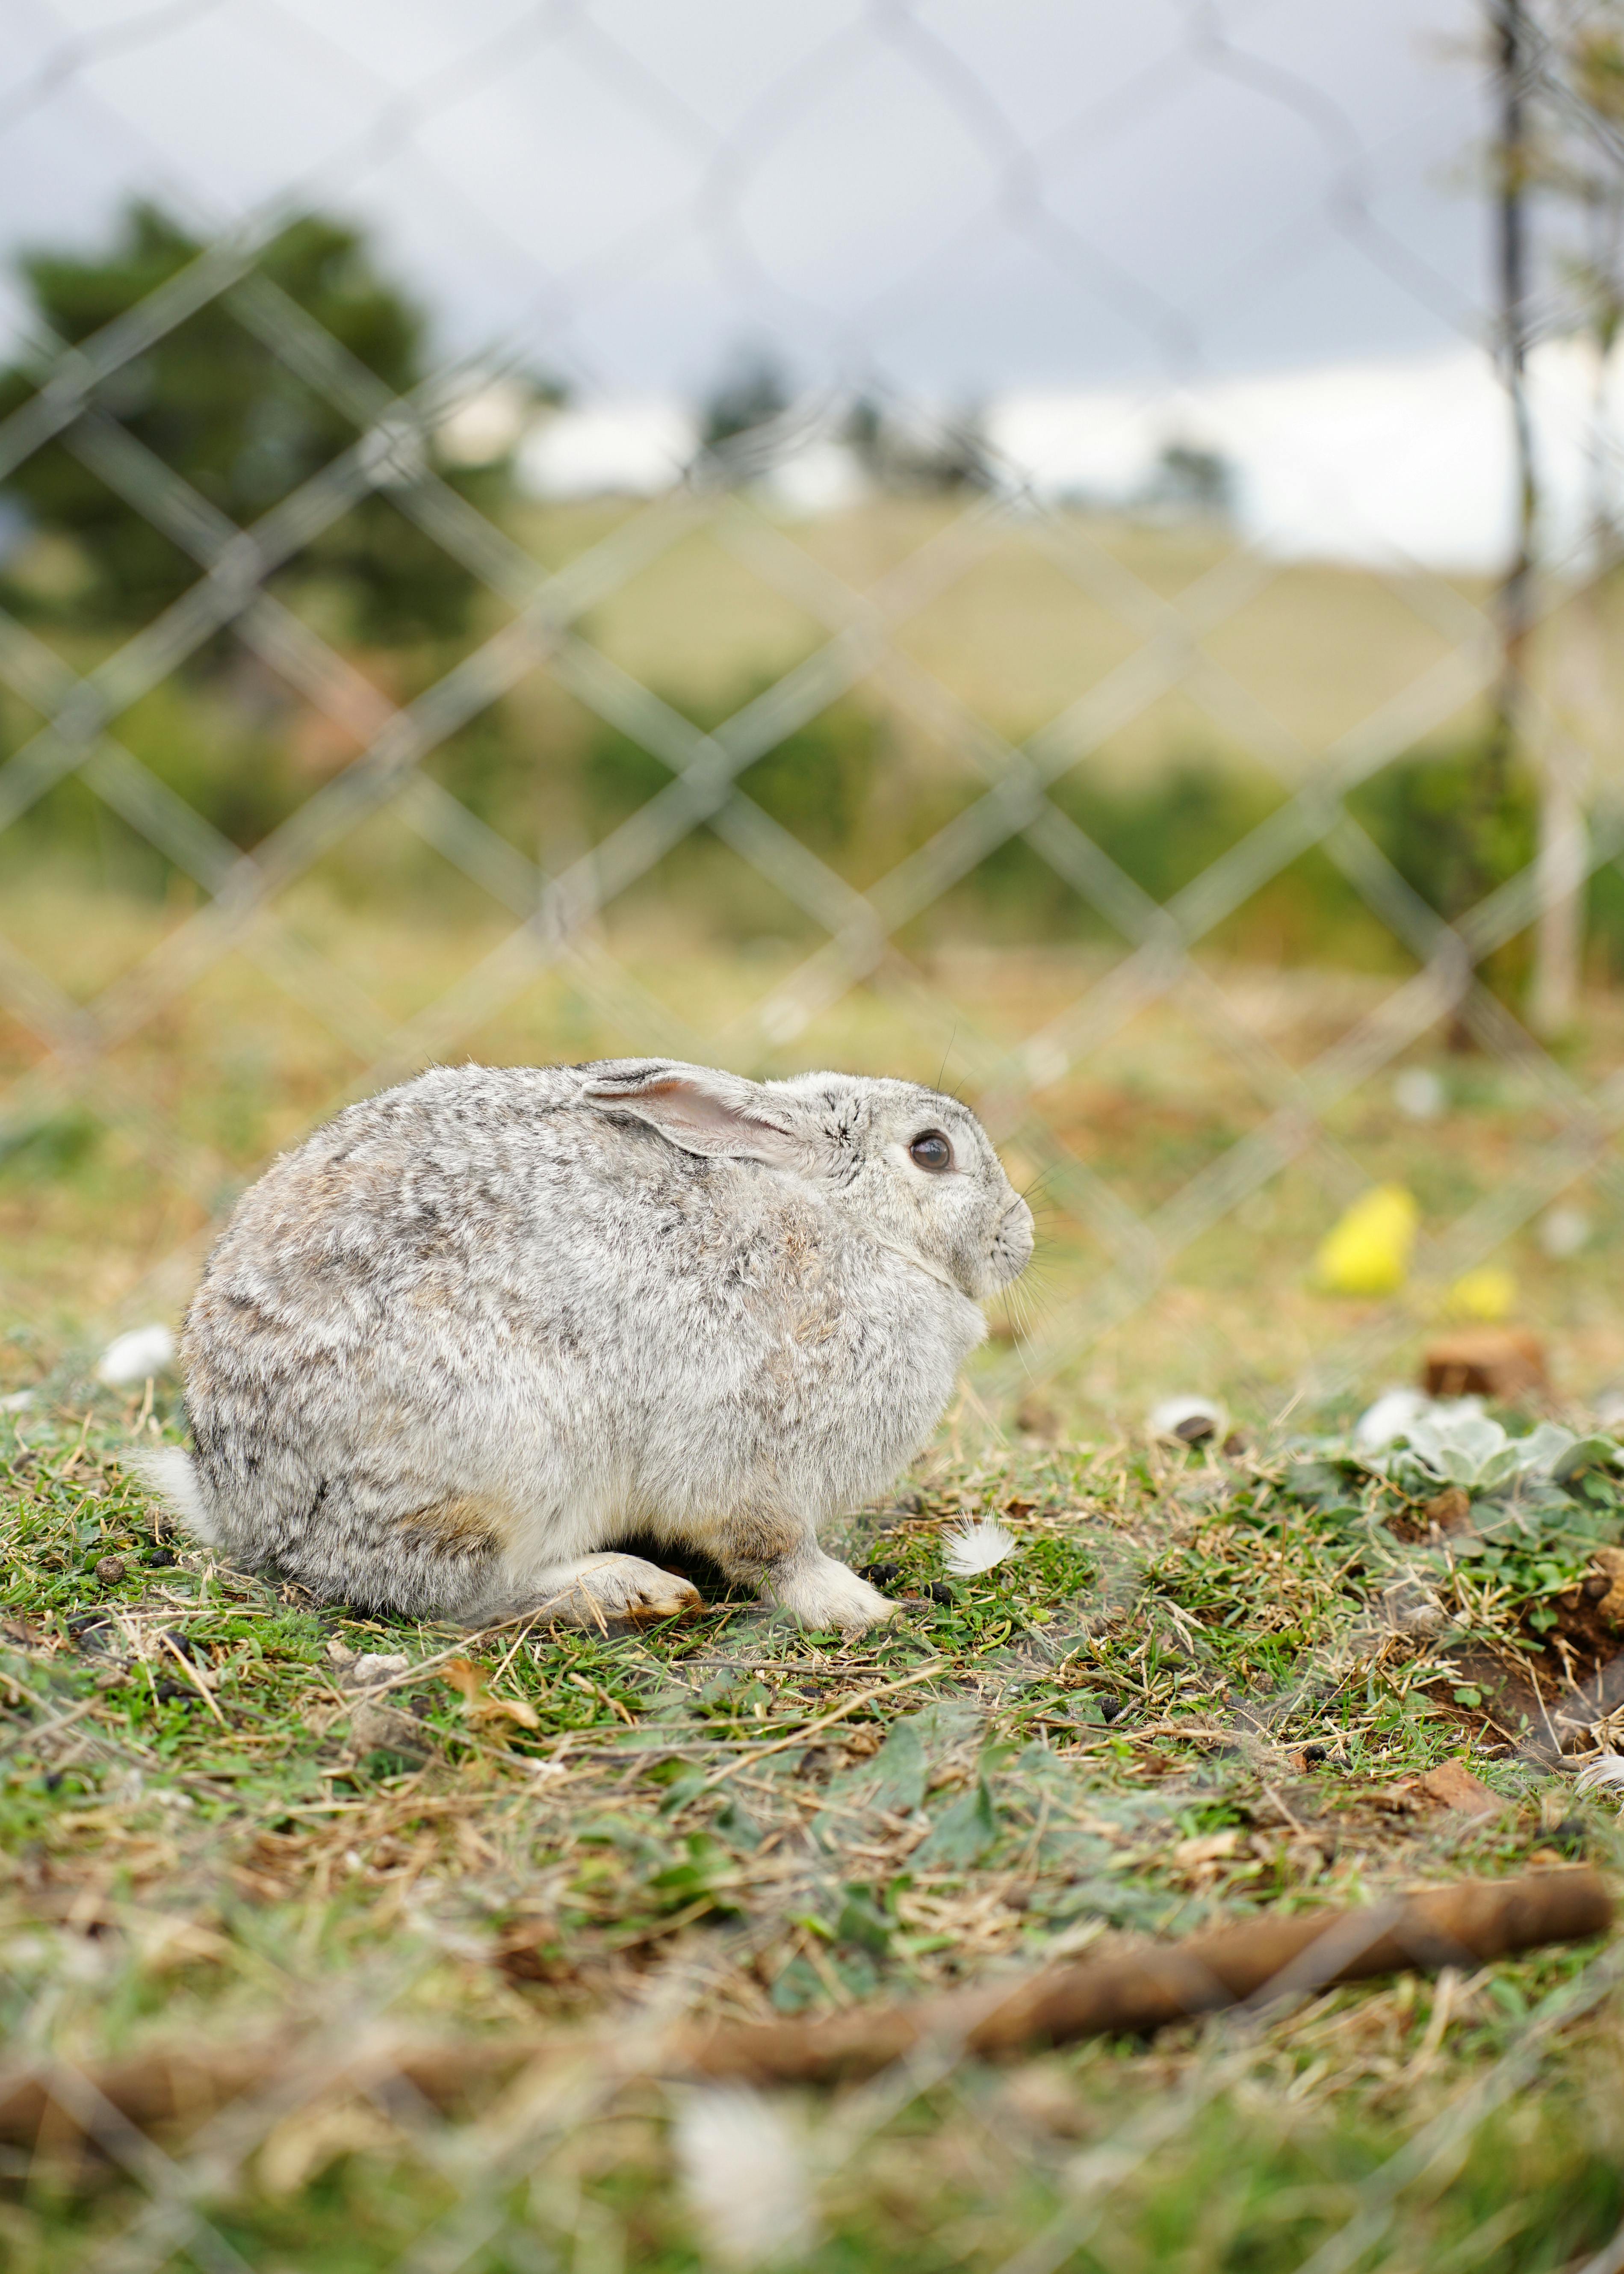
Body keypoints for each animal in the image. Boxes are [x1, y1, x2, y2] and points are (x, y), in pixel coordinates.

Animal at [133, 1058, 1034, 1635]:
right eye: (932, 1150)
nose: (1019, 1234)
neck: (855, 1228)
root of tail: (242, 1506)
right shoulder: (749, 1455)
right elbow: (772, 1548)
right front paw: (856, 1606)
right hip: (505, 1455)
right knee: (450, 1590)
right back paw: (625, 1587)